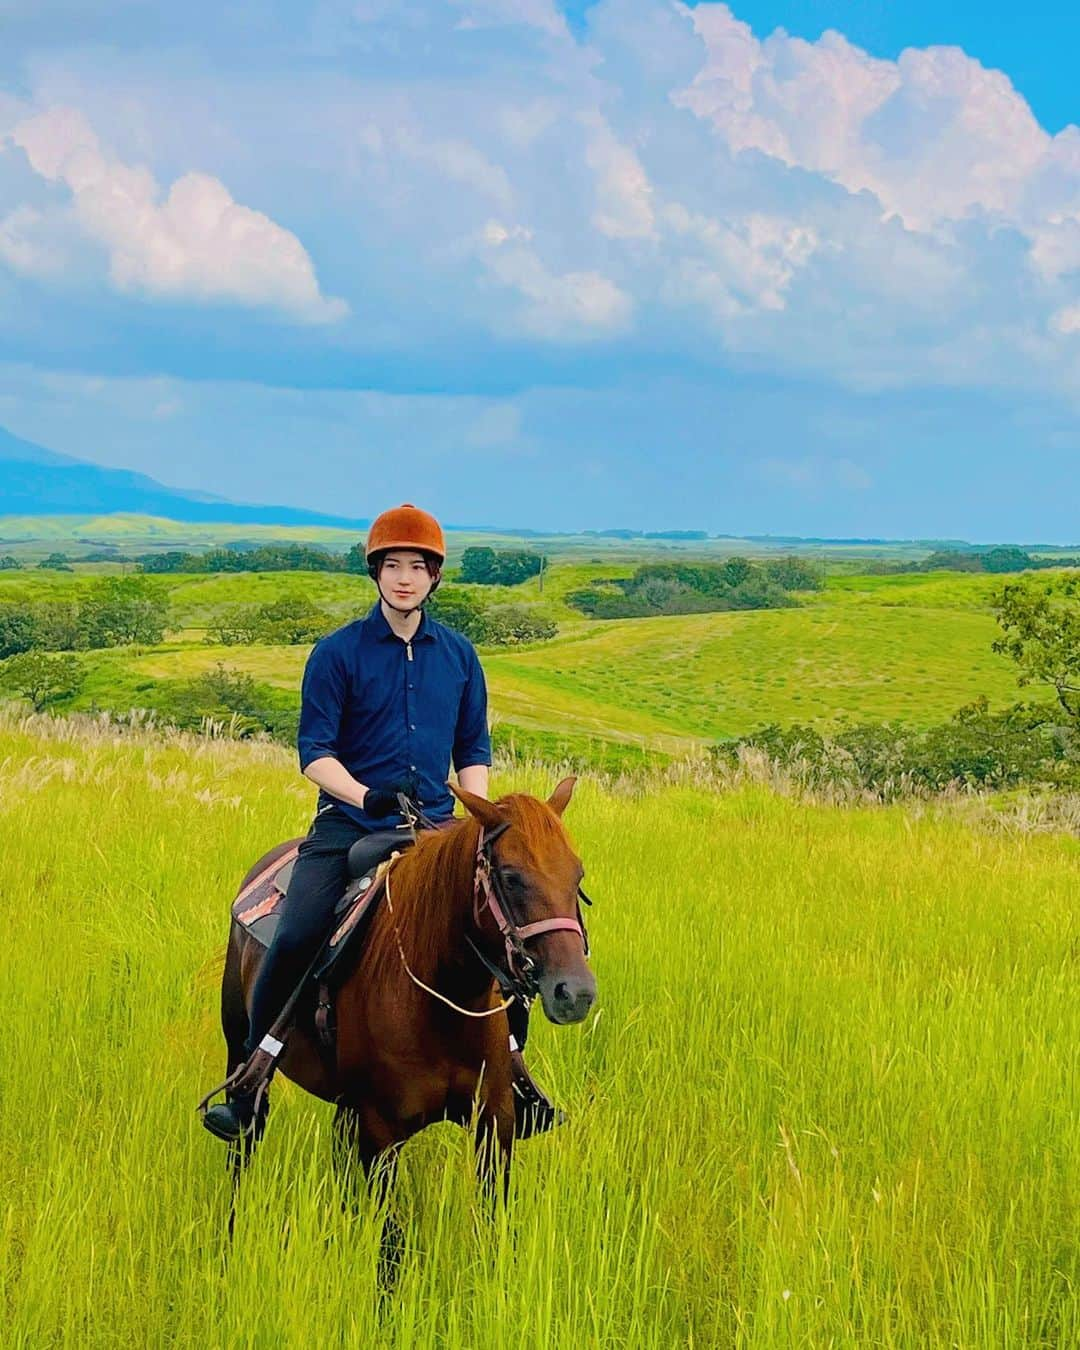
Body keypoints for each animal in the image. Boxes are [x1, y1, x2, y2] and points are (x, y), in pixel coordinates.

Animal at [214, 777, 594, 1220]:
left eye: (577, 875)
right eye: (512, 877)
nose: (576, 992)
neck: (442, 1006)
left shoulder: (495, 1123)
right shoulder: (381, 1134)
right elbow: (389, 1233)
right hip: (238, 1048)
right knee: (243, 1143)